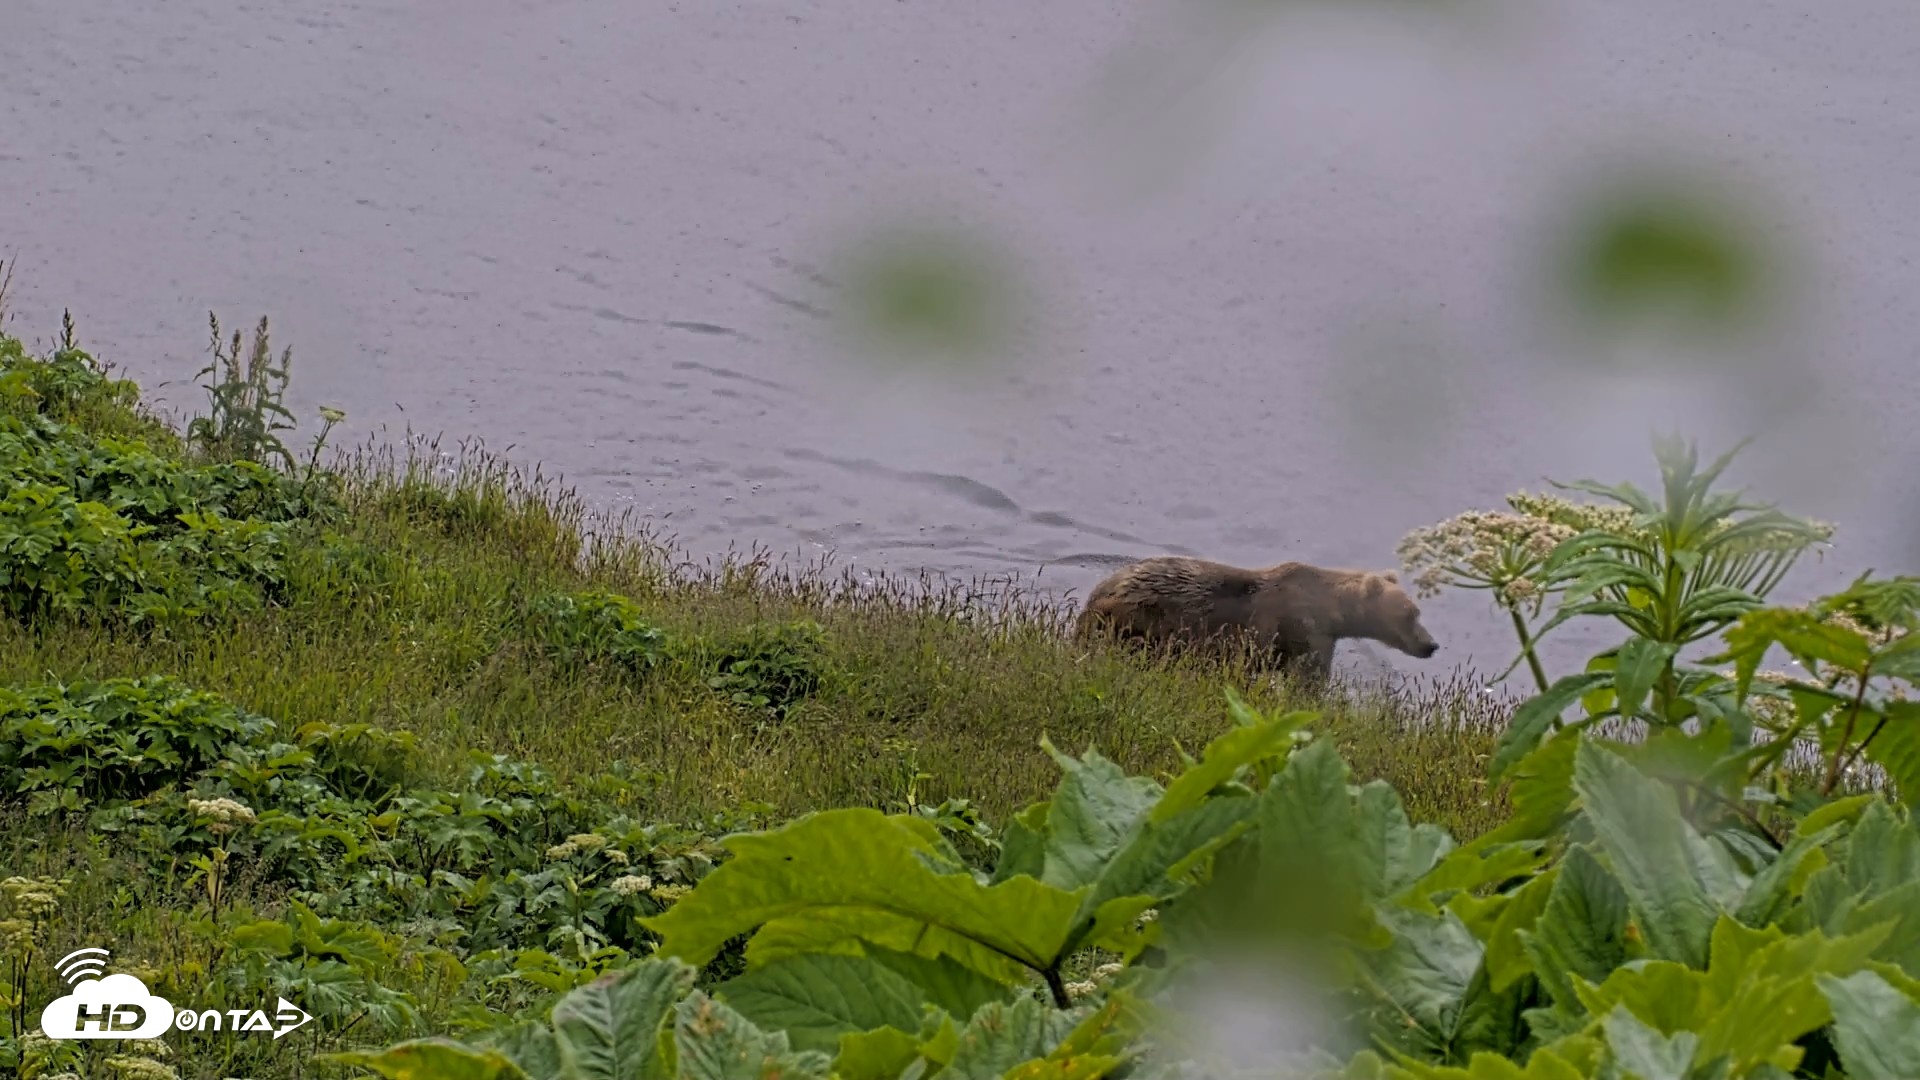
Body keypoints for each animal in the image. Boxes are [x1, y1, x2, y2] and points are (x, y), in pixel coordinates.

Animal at [1072, 556, 1438, 681]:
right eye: (1410, 614)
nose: (1431, 645)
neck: (1330, 611)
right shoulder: (1303, 629)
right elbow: (1308, 677)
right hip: (1142, 617)